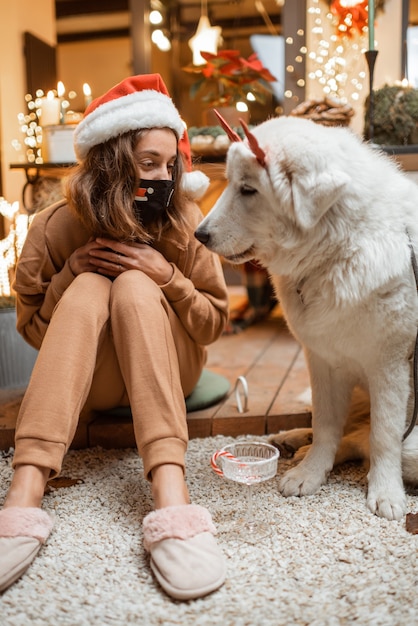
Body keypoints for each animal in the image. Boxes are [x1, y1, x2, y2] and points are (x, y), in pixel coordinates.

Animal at [197, 114, 418, 520]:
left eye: (248, 190)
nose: (198, 234)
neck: (338, 251)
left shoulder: (389, 365)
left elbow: (383, 434)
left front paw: (385, 492)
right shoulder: (322, 360)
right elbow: (326, 422)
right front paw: (311, 473)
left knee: (367, 435)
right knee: (347, 428)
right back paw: (295, 441)